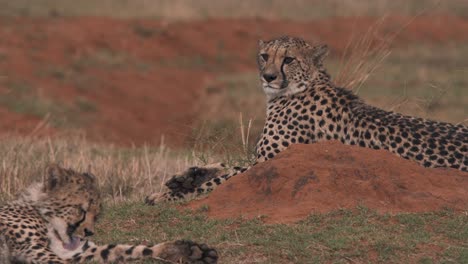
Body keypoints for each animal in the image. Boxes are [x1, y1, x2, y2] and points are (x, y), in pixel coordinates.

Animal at [0, 164, 218, 262]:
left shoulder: (76, 252)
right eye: (82, 209)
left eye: (97, 213)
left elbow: (124, 249)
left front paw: (188, 251)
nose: (88, 232)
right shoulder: (37, 252)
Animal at [145, 35, 464, 204]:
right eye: (265, 56)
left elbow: (223, 178)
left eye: (288, 59)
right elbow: (226, 165)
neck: (301, 86)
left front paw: (167, 197)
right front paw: (184, 177)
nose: (268, 76)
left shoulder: (271, 162)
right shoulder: (263, 158)